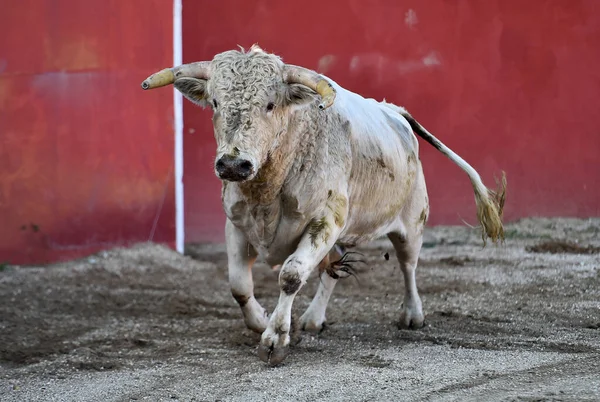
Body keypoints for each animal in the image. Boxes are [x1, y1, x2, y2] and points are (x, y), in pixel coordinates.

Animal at [141, 45, 506, 366]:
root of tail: (394, 111)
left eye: (270, 105)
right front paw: (260, 320)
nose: (232, 164)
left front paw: (274, 340)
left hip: (413, 222)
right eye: (215, 102)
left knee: (408, 266)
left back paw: (412, 315)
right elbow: (239, 285)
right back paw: (314, 319)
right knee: (332, 274)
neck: (268, 189)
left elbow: (291, 275)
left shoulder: (325, 221)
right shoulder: (237, 224)